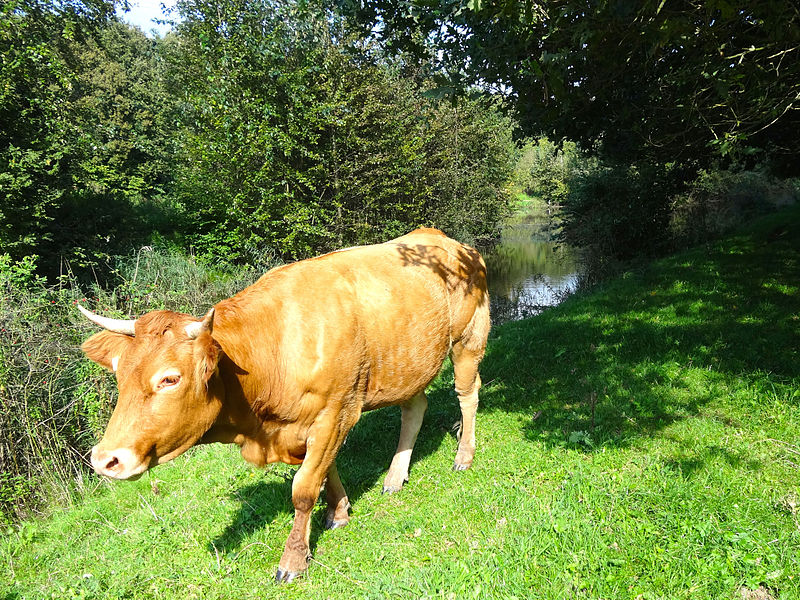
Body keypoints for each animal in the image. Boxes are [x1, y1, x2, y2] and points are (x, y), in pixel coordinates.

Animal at [83, 227, 494, 584]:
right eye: (119, 375)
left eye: (169, 379)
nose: (105, 460)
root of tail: (446, 240)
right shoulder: (310, 425)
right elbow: (325, 470)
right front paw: (338, 511)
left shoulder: (335, 412)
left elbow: (304, 488)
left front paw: (294, 560)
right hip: (407, 361)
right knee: (415, 407)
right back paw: (395, 477)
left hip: (468, 339)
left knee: (467, 395)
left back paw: (464, 456)